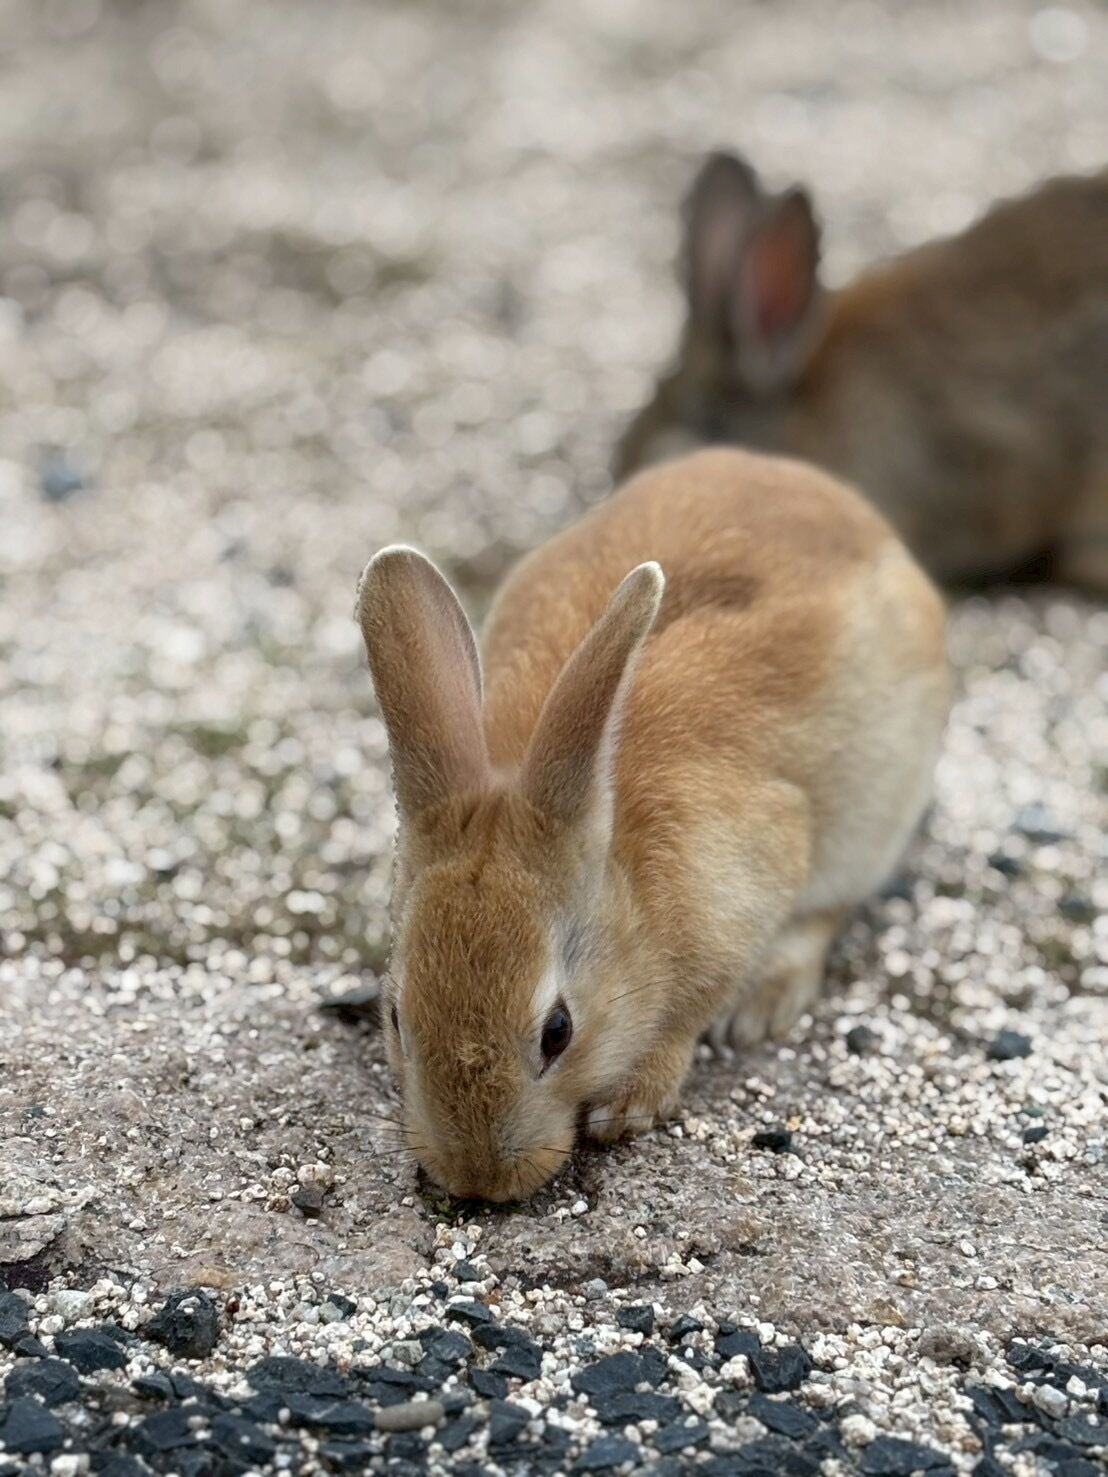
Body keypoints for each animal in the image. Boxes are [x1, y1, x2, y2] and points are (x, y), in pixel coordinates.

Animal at [356, 447, 948, 1202]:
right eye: (397, 1017)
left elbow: (689, 1015)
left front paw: (629, 1106)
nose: (480, 1178)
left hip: (874, 818)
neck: (630, 890)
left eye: (558, 1030)